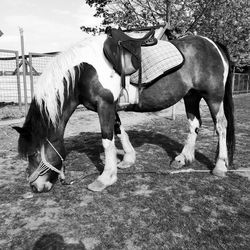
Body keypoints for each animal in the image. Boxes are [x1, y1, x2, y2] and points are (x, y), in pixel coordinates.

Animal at [13, 30, 234, 191]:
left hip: (213, 97)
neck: (85, 70)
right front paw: (128, 159)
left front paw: (106, 178)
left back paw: (220, 166)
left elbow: (107, 139)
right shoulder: (109, 107)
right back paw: (183, 157)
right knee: (194, 124)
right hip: (191, 96)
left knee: (221, 126)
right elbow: (119, 130)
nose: (35, 187)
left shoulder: (104, 106)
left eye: (34, 153)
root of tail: (214, 45)